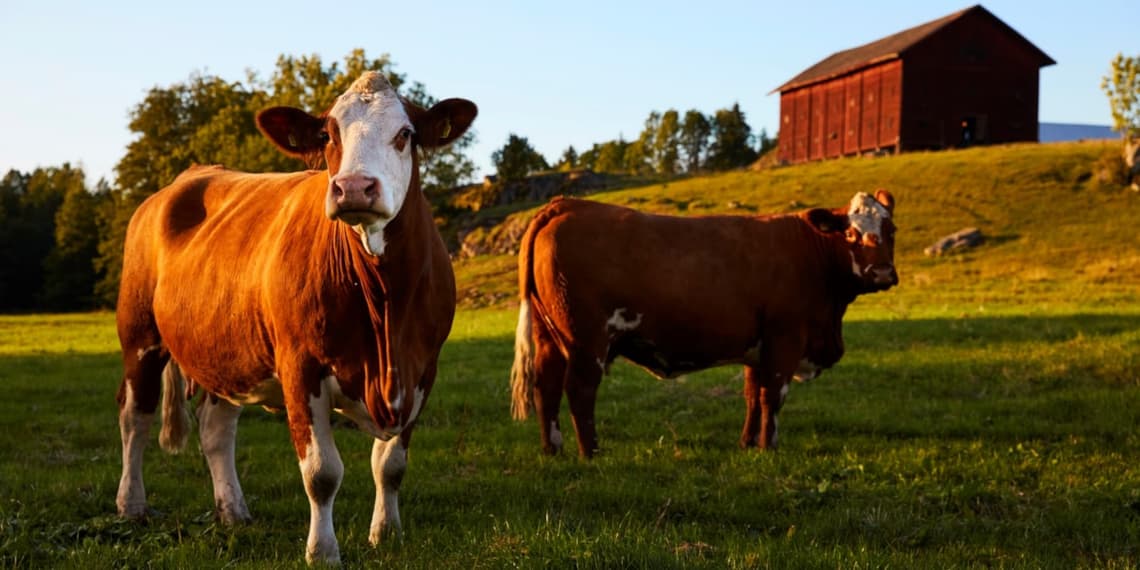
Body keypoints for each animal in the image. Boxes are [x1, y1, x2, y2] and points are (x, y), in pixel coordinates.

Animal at [113, 72, 474, 565]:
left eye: (405, 134)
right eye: (328, 135)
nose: (354, 187)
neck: (384, 311)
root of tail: (191, 175)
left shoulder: (422, 369)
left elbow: (391, 465)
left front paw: (386, 533)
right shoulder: (300, 366)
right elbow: (322, 473)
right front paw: (322, 551)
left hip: (226, 347)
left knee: (215, 428)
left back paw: (233, 511)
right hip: (139, 335)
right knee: (135, 417)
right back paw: (131, 505)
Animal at [513, 192, 893, 458]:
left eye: (892, 230)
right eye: (850, 233)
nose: (882, 273)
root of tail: (567, 204)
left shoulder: (756, 347)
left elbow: (752, 395)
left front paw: (747, 443)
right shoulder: (784, 339)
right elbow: (773, 396)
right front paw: (768, 447)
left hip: (548, 335)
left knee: (546, 384)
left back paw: (553, 449)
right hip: (587, 338)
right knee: (579, 389)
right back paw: (590, 452)